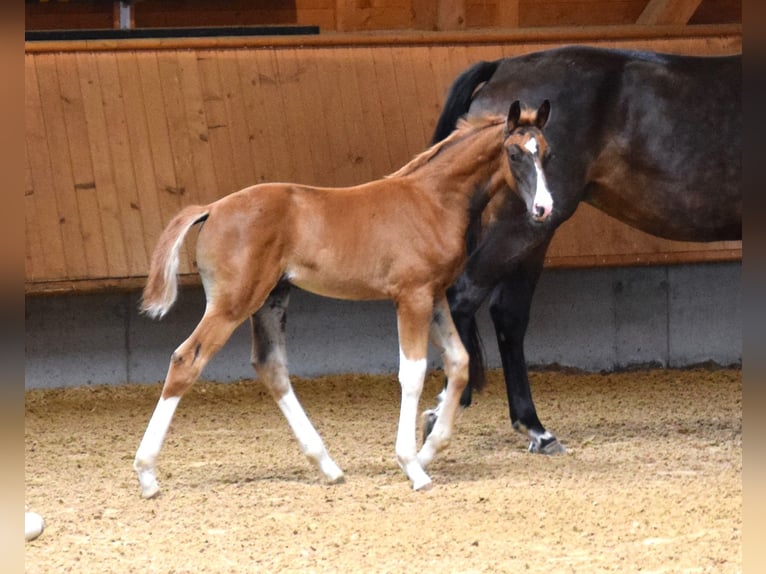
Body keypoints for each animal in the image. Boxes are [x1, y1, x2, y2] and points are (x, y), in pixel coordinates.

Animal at [133, 100, 554, 497]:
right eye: (514, 153)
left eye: (546, 154)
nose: (544, 209)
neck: (432, 200)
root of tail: (211, 208)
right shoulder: (412, 296)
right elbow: (413, 373)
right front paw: (412, 466)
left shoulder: (434, 297)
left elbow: (459, 362)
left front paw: (428, 452)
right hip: (232, 303)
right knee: (186, 360)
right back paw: (147, 474)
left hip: (271, 299)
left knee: (271, 366)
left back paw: (328, 466)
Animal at [423, 45, 741, 455]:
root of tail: (502, 66)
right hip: (518, 227)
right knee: (463, 296)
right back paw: (444, 415)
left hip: (536, 229)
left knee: (508, 314)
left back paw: (535, 429)